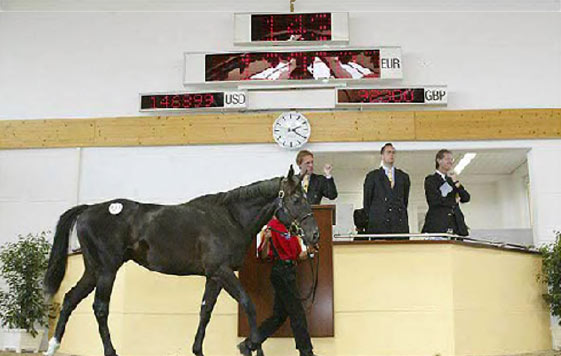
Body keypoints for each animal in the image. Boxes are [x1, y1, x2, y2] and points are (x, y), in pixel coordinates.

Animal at [43, 167, 318, 356]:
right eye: (296, 200)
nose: (314, 234)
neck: (230, 219)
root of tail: (88, 210)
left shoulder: (215, 276)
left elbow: (205, 310)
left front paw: (198, 349)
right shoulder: (223, 271)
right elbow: (248, 304)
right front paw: (253, 347)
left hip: (93, 270)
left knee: (69, 299)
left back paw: (53, 347)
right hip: (107, 270)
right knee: (100, 308)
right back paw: (110, 352)